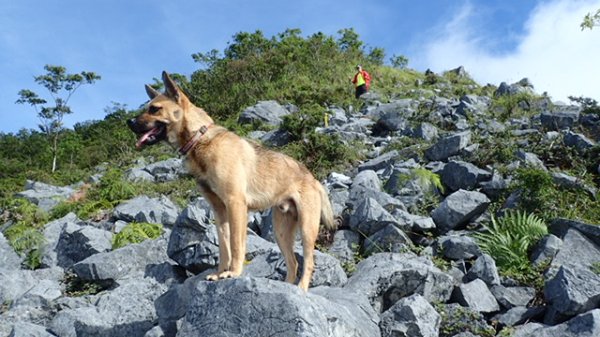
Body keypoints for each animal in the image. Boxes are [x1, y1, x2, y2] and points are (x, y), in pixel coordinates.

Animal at [126, 71, 336, 288]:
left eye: (155, 109)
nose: (129, 122)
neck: (199, 139)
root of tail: (313, 178)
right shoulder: (219, 210)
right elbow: (224, 247)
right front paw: (220, 273)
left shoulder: (235, 203)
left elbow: (235, 244)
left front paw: (233, 272)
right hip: (281, 231)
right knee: (293, 262)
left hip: (307, 229)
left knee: (308, 262)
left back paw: (301, 289)